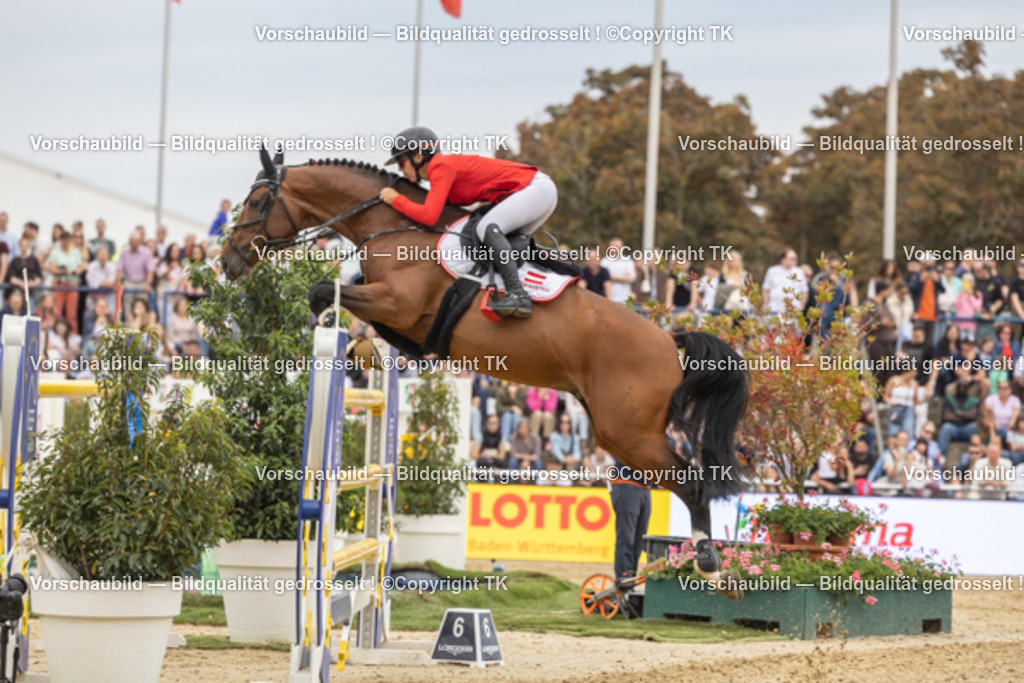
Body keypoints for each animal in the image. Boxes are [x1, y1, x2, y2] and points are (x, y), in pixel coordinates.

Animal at [222, 149, 749, 598]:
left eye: (255, 201)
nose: (227, 261)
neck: (393, 228)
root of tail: (669, 340)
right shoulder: (403, 320)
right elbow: (357, 311)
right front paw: (363, 349)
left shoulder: (397, 304)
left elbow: (321, 292)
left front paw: (345, 335)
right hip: (614, 431)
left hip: (629, 433)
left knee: (693, 483)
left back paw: (710, 567)